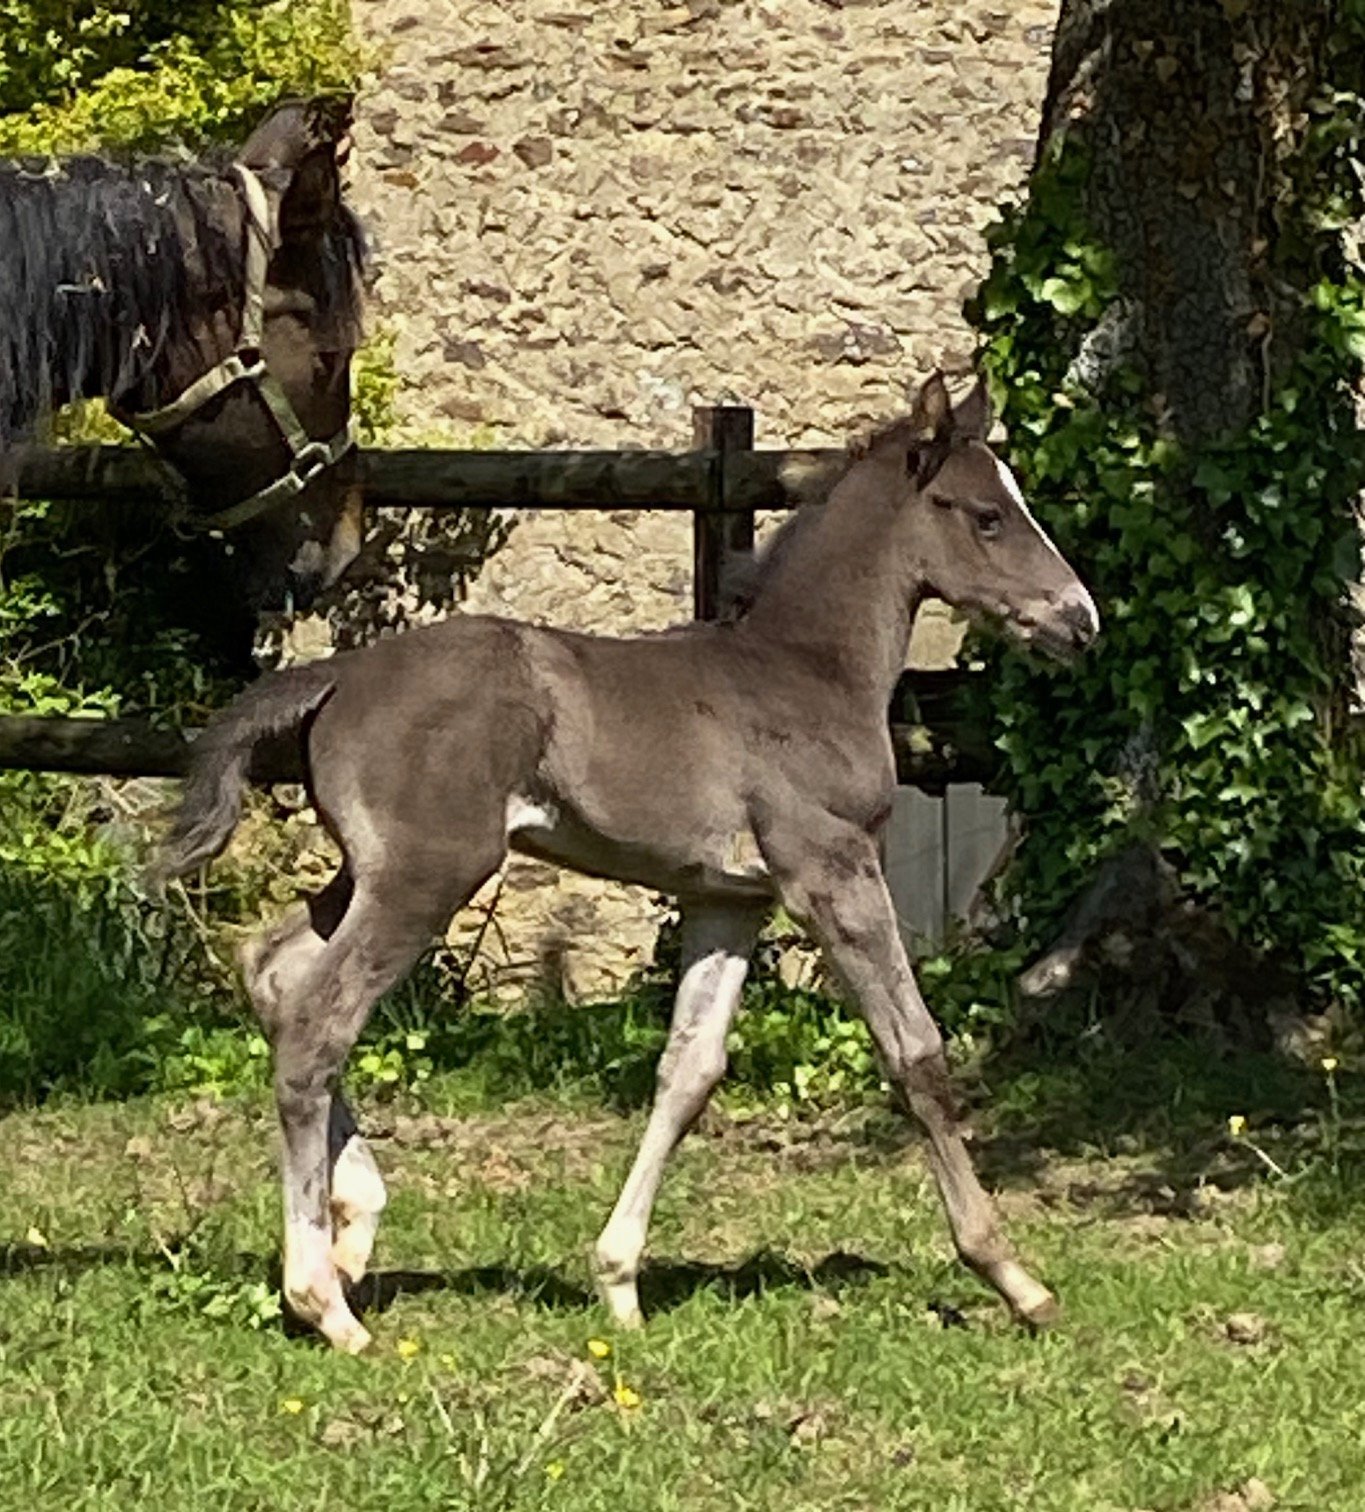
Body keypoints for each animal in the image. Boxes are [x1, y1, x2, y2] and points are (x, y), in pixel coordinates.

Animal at [154, 371, 1100, 1352]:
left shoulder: (730, 900)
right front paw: (1012, 1277)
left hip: (370, 874)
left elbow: (689, 1070)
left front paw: (617, 1280)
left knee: (272, 968)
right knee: (318, 1022)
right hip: (427, 876)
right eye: (987, 516)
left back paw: (352, 1231)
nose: (1081, 621)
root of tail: (337, 677)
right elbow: (914, 1052)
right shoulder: (831, 872)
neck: (803, 674)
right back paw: (324, 1300)